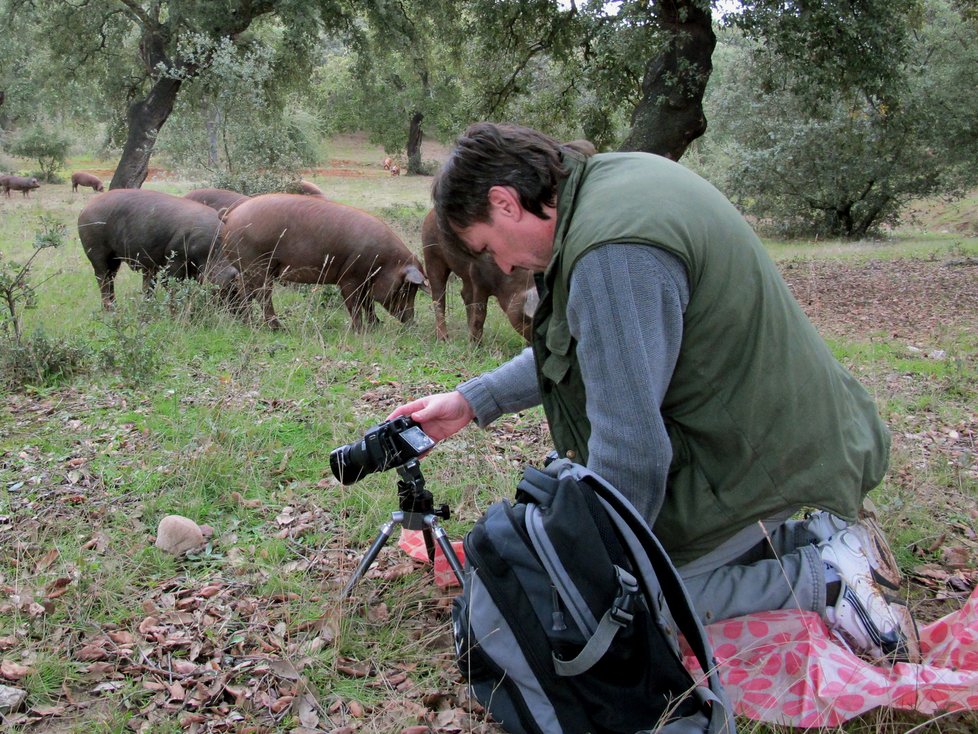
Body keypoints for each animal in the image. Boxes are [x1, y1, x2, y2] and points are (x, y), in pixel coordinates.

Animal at [78, 188, 238, 310]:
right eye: (232, 291)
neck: (213, 250)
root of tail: (84, 208)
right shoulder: (175, 258)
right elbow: (173, 285)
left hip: (116, 258)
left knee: (113, 279)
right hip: (96, 251)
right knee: (102, 278)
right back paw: (111, 309)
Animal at [223, 196, 426, 334]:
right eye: (406, 288)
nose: (412, 321)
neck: (386, 262)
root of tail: (230, 216)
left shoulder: (366, 282)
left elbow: (368, 304)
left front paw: (376, 326)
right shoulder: (350, 278)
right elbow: (354, 305)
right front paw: (360, 332)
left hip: (248, 268)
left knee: (245, 292)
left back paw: (248, 323)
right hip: (256, 264)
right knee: (262, 295)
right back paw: (279, 329)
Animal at [418, 208, 532, 344]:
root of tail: (430, 213)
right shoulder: (478, 277)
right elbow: (480, 313)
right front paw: (476, 345)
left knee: (464, 294)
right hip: (431, 254)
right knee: (438, 296)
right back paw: (444, 339)